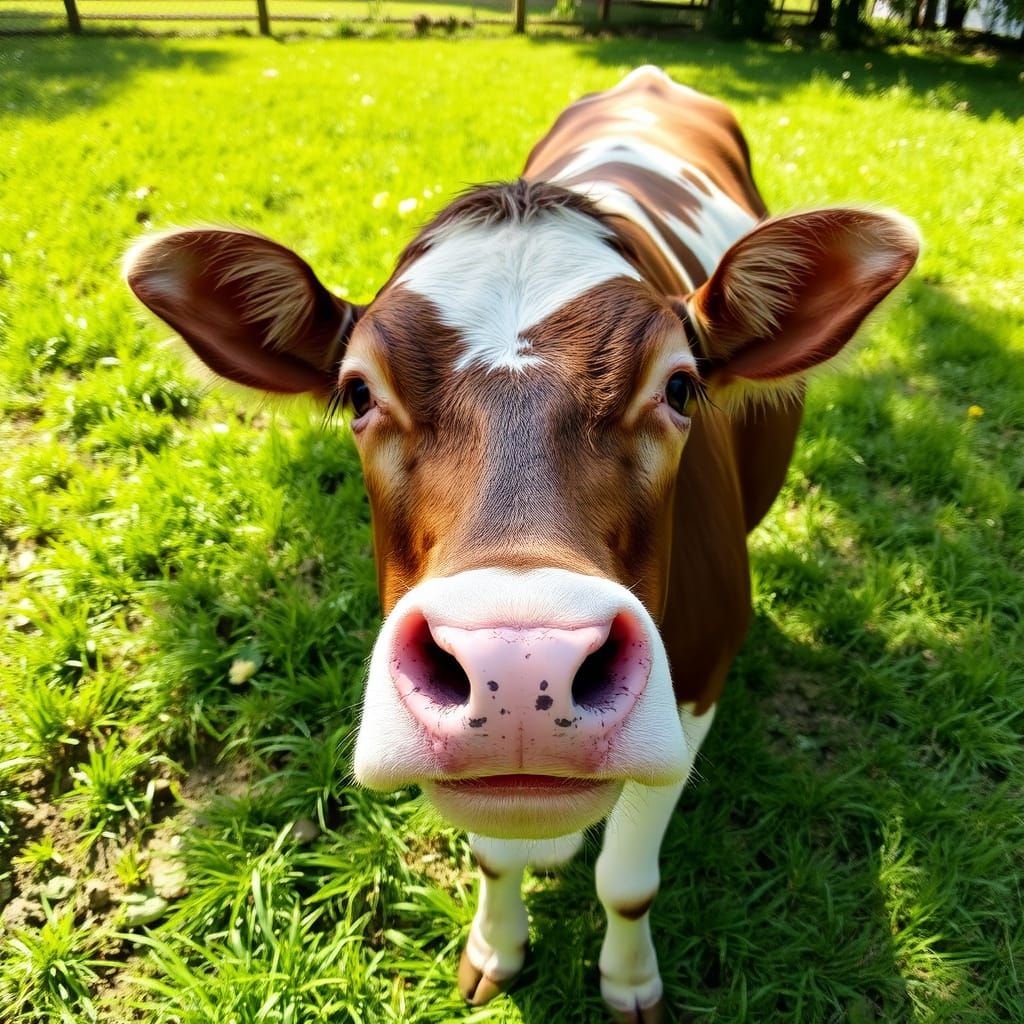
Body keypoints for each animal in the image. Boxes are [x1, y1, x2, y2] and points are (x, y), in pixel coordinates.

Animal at [125, 66, 918, 1022]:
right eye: (358, 393)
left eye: (680, 387)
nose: (518, 671)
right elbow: (493, 854)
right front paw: (496, 945)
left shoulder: (695, 683)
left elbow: (627, 880)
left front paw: (629, 979)